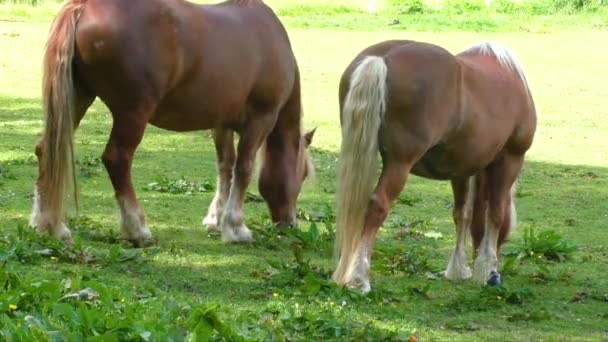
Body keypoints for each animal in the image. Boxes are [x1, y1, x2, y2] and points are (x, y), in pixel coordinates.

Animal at [29, 0, 316, 247]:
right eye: (303, 174)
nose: (289, 223)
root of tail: (83, 6)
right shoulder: (260, 120)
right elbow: (243, 169)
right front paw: (235, 228)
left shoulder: (220, 124)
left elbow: (225, 167)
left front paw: (215, 220)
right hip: (133, 114)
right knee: (117, 159)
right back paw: (137, 230)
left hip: (78, 98)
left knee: (46, 150)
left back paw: (50, 225)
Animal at [332, 40, 536, 292]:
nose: (496, 273)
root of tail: (382, 57)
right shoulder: (509, 159)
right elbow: (496, 213)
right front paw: (488, 269)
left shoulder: (462, 168)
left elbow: (463, 214)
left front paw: (459, 269)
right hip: (400, 163)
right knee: (377, 205)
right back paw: (360, 278)